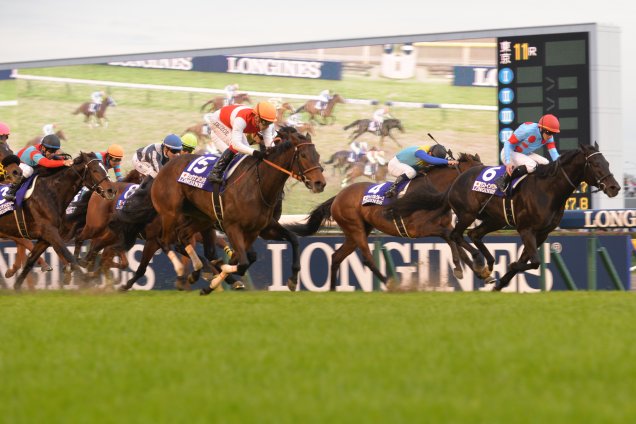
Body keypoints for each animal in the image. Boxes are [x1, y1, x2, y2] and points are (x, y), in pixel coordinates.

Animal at [0, 151, 115, 290]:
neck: (50, 193)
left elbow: (30, 261)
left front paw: (17, 287)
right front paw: (85, 281)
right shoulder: (50, 232)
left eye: (106, 168)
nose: (111, 190)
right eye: (94, 170)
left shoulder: (45, 237)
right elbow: (69, 256)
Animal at [151, 126, 326, 294]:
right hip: (170, 214)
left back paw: (197, 271)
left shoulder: (261, 229)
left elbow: (293, 239)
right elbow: (241, 262)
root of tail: (167, 166)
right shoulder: (232, 226)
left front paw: (293, 279)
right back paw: (189, 270)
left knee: (183, 237)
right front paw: (218, 277)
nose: (320, 183)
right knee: (165, 241)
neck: (258, 184)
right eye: (303, 155)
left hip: (201, 219)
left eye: (317, 155)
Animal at [286, 153, 484, 292]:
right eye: (478, 171)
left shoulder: (445, 225)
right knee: (367, 258)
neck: (433, 192)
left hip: (356, 232)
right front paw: (466, 266)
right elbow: (450, 238)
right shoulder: (417, 229)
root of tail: (337, 197)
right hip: (355, 228)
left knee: (336, 256)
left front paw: (480, 271)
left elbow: (455, 240)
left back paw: (333, 289)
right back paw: (391, 285)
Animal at [420, 142, 620, 292]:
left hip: (495, 219)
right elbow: (534, 262)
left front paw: (501, 282)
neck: (548, 189)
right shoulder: (526, 229)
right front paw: (510, 267)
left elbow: (527, 260)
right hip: (467, 214)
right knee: (456, 235)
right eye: (595, 165)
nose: (614, 187)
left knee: (474, 234)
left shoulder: (542, 233)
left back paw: (488, 265)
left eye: (607, 163)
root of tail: (457, 180)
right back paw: (478, 264)